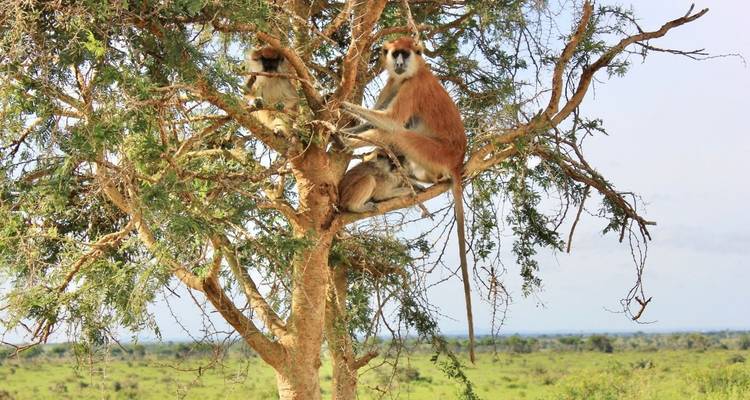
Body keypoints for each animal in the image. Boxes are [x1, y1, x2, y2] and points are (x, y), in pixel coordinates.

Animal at [340, 36, 476, 363]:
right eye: (395, 53)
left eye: (406, 53)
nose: (399, 62)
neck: (413, 72)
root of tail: (457, 161)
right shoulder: (395, 81)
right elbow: (374, 119)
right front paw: (346, 126)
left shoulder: (412, 88)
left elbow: (389, 122)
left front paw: (340, 111)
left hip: (431, 151)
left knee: (399, 133)